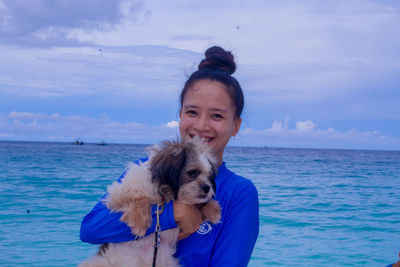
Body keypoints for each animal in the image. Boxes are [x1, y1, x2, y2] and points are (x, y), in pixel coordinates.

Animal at [79, 139, 220, 266]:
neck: (163, 196)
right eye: (192, 172)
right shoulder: (117, 195)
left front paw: (212, 209)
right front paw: (140, 222)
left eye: (208, 177)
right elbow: (138, 197)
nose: (207, 188)